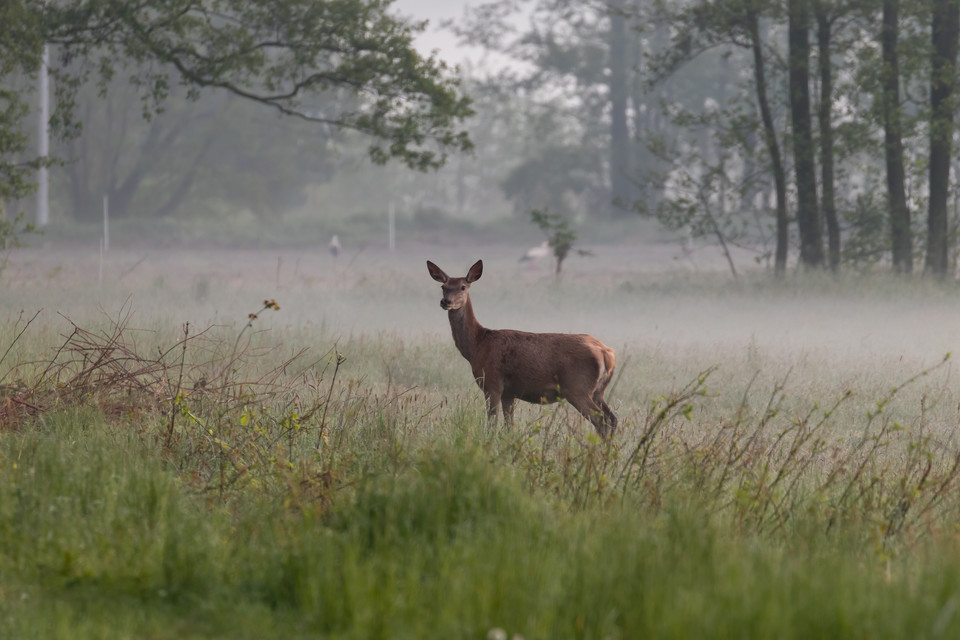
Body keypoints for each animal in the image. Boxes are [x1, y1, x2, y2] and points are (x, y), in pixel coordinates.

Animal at [426, 258, 620, 438]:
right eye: (443, 286)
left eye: (463, 287)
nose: (445, 301)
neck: (477, 346)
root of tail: (606, 353)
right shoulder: (509, 393)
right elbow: (509, 427)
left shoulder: (492, 383)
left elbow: (492, 424)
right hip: (598, 391)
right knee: (613, 419)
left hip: (577, 387)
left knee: (601, 420)